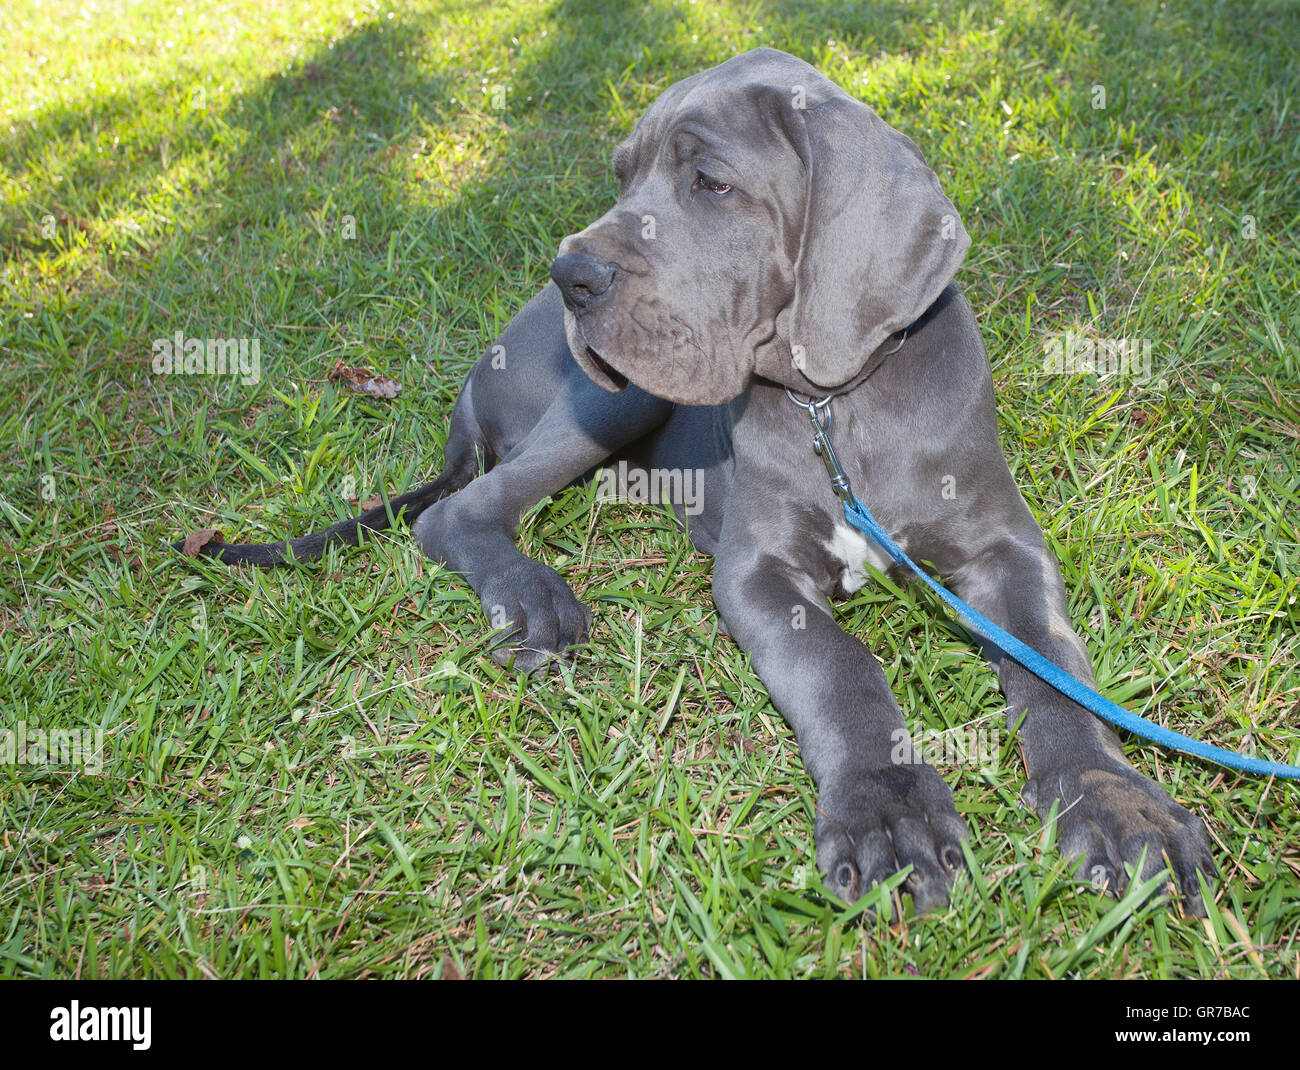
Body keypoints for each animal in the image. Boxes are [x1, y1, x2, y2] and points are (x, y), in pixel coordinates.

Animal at [192, 46, 1216, 910]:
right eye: (622, 177)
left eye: (711, 183)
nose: (571, 273)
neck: (834, 408)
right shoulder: (757, 573)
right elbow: (840, 666)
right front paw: (886, 808)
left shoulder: (1006, 547)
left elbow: (1053, 662)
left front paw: (1116, 803)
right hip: (607, 403)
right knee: (457, 514)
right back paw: (532, 599)